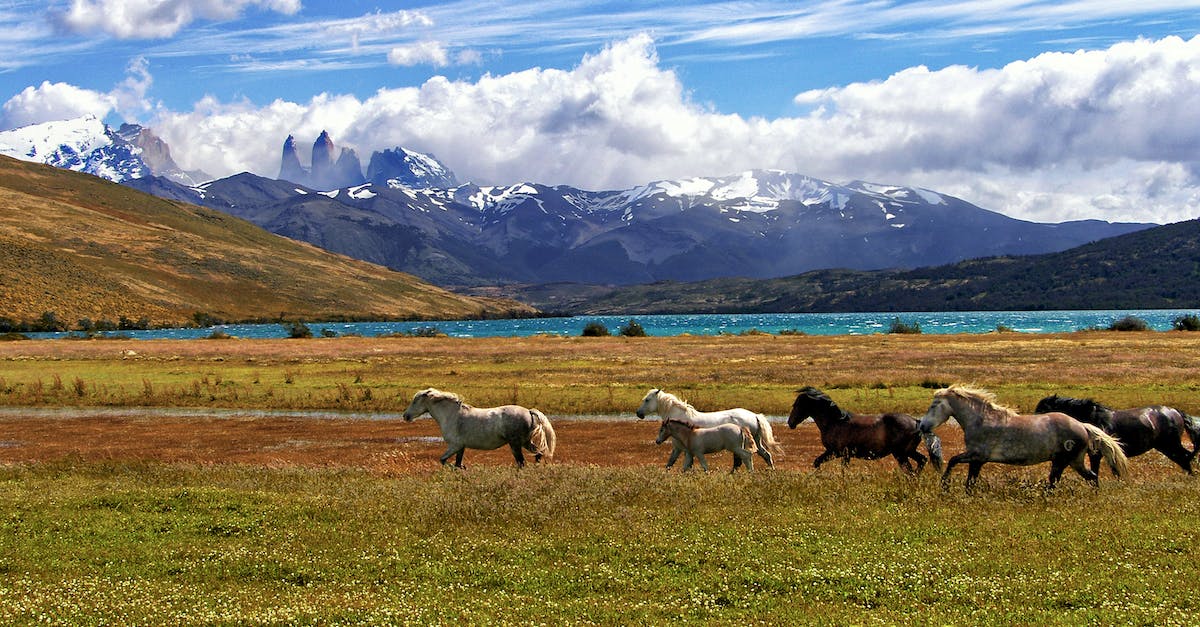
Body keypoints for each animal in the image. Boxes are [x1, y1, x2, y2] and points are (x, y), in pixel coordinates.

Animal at [400, 384, 554, 468]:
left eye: (415, 401)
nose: (405, 416)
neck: (451, 415)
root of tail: (528, 411)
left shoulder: (455, 445)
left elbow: (443, 460)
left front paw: (464, 468)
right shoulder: (461, 447)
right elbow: (456, 463)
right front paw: (463, 469)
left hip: (515, 444)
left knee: (522, 462)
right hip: (525, 442)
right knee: (538, 453)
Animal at [633, 386, 782, 466]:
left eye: (647, 400)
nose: (639, 413)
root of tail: (755, 416)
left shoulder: (678, 447)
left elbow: (673, 462)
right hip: (756, 441)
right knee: (766, 455)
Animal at [787, 381, 945, 470]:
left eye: (796, 405)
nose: (790, 423)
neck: (834, 422)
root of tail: (916, 422)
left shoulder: (838, 453)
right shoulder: (839, 454)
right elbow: (817, 462)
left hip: (900, 454)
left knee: (911, 470)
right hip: (908, 452)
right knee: (922, 461)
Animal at [916, 381, 1123, 490]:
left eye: (934, 405)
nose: (923, 425)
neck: (982, 421)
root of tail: (1082, 425)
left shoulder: (977, 457)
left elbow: (955, 464)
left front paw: (944, 484)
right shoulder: (977, 459)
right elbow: (968, 478)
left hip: (1064, 461)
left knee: (1058, 481)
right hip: (1073, 461)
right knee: (1090, 476)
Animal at [1036, 393, 1195, 475]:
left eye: (1042, 411)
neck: (1093, 418)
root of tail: (1175, 412)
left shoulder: (1096, 455)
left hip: (1170, 445)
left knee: (1185, 458)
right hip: (1166, 447)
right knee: (1185, 458)